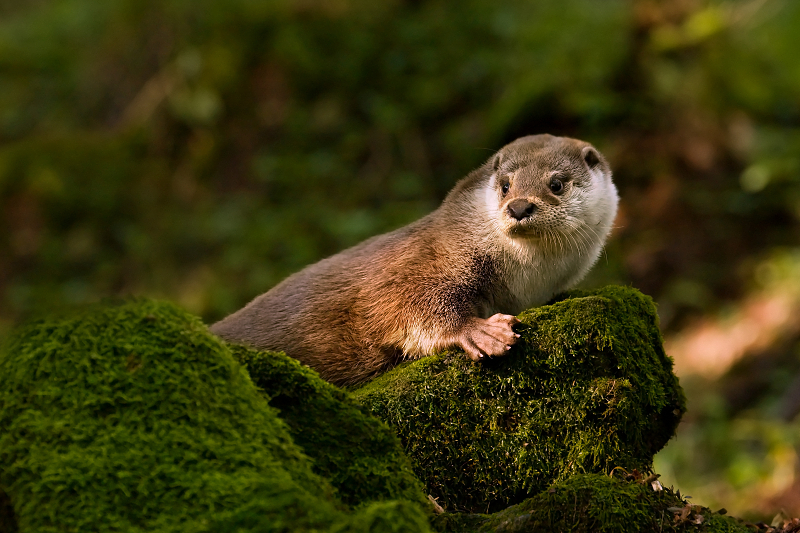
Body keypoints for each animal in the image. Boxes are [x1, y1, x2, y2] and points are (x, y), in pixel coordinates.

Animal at [211, 132, 620, 382]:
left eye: (557, 183)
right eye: (506, 185)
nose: (519, 206)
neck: (527, 281)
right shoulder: (420, 264)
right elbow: (407, 303)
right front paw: (480, 331)